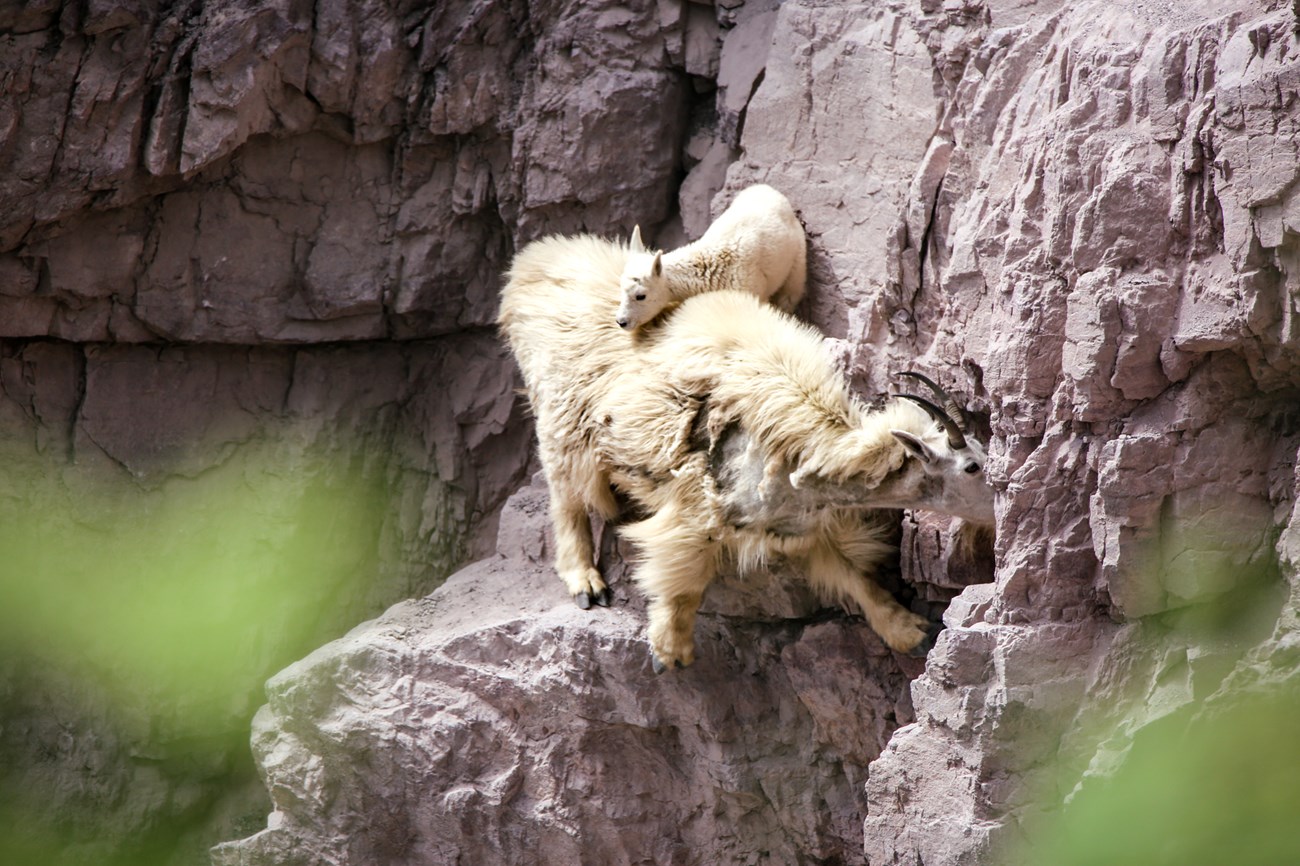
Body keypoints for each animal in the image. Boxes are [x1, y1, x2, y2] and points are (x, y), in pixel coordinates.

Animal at [499, 232, 993, 670]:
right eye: (972, 466)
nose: (999, 509)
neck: (801, 447)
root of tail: (527, 271)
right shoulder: (696, 511)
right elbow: (680, 579)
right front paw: (669, 652)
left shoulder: (802, 523)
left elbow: (853, 575)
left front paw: (909, 630)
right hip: (561, 418)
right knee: (565, 496)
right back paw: (585, 581)